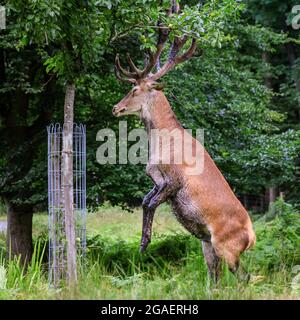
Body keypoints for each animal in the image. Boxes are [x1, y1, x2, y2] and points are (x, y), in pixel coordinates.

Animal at [112, 4, 255, 280]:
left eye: (134, 90)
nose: (116, 108)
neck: (162, 145)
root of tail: (252, 238)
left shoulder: (175, 180)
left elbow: (150, 203)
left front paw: (145, 242)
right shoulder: (156, 178)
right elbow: (145, 201)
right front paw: (142, 243)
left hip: (227, 247)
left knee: (244, 277)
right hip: (207, 244)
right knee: (215, 276)